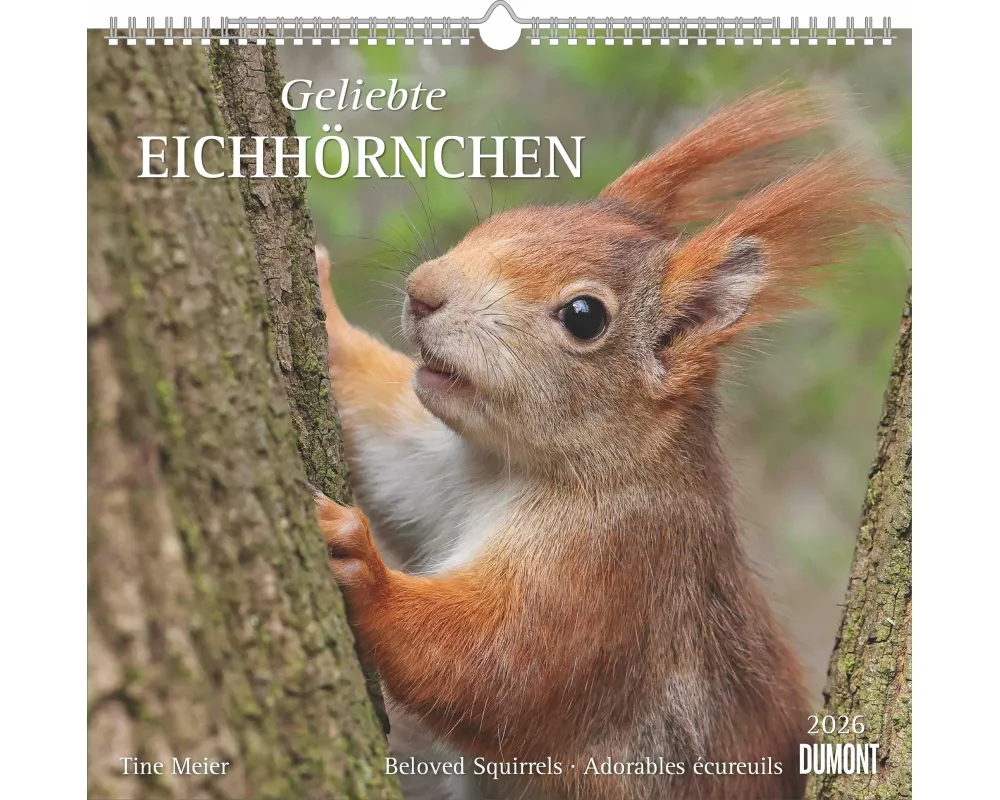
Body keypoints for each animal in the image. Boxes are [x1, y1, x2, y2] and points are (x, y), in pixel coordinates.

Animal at [312, 88, 893, 800]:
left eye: (584, 317)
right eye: (508, 218)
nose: (423, 293)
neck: (509, 470)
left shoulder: (619, 574)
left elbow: (497, 666)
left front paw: (359, 563)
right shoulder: (438, 469)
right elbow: (384, 442)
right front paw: (326, 310)